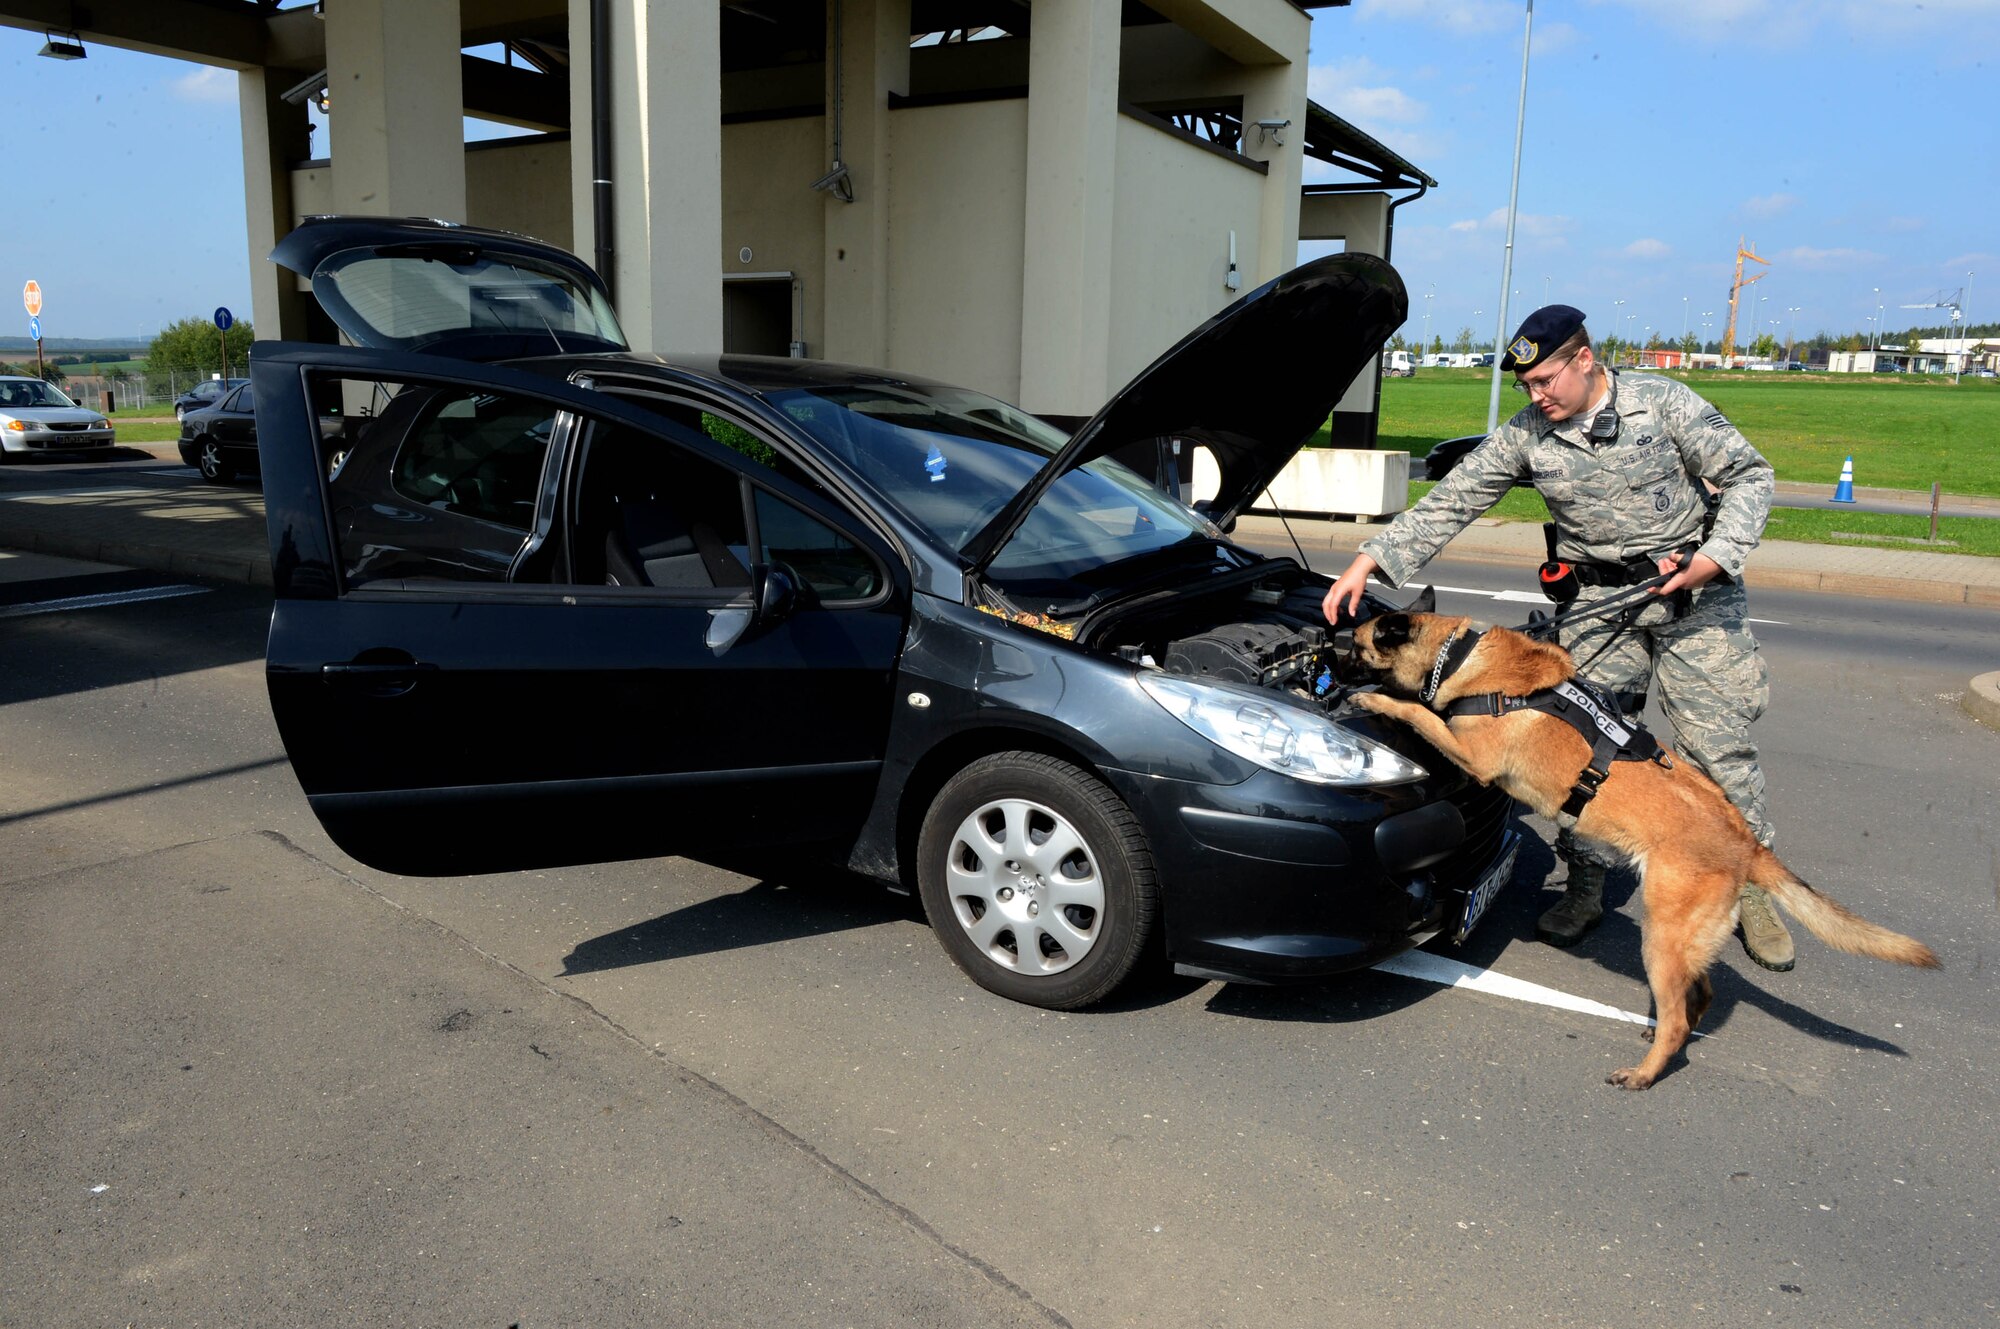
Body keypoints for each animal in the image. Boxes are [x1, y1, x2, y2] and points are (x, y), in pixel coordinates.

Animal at [1344, 608, 1936, 1088]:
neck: (1462, 655)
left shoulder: (1473, 755)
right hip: (1682, 943)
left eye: (1357, 645)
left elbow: (1421, 714)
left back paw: (1645, 1074)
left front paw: (1377, 699)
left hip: (1662, 938)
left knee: (1677, 1017)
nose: (1333, 667)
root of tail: (1746, 843)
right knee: (1699, 998)